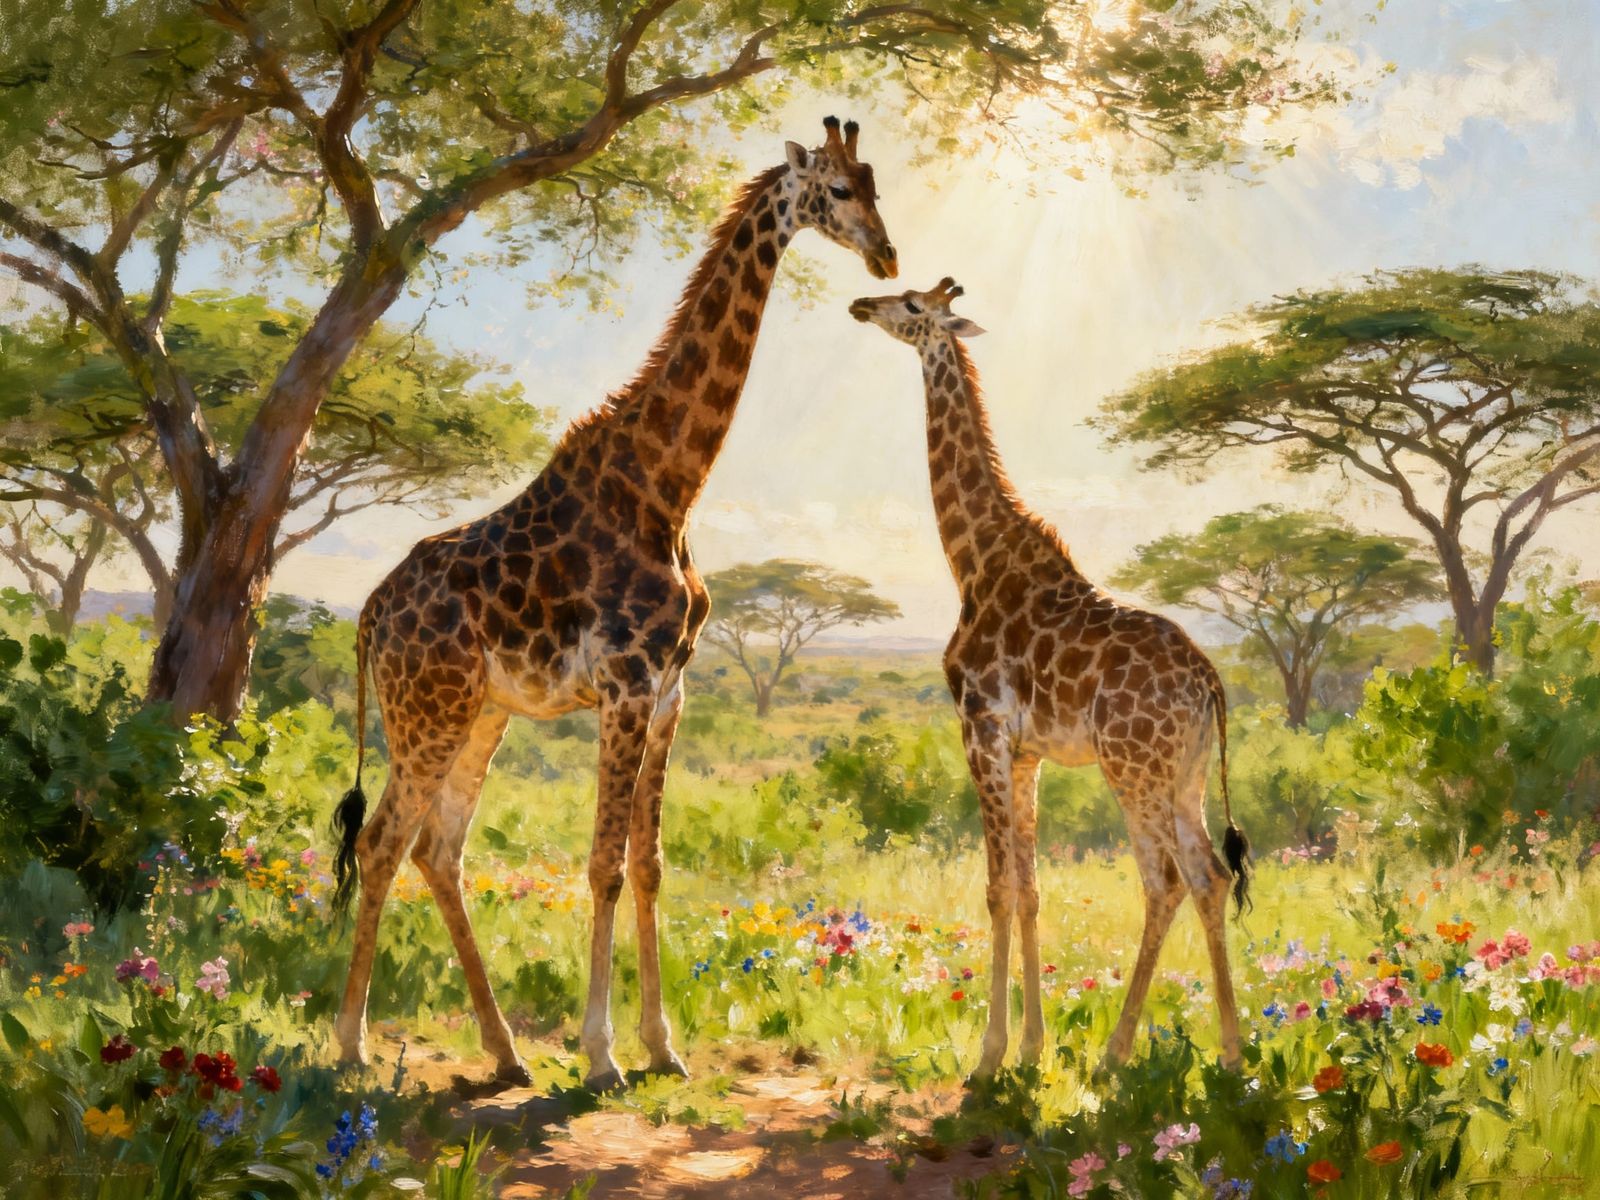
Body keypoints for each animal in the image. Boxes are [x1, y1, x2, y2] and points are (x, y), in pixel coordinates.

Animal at [330, 117, 898, 1092]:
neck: (669, 487)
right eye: (836, 191)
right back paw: (352, 1045)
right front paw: (601, 1058)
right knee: (383, 843)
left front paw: (662, 1047)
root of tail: (370, 615)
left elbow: (650, 864)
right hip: (426, 713)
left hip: (481, 713)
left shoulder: (671, 694)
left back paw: (506, 1051)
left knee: (438, 848)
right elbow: (600, 864)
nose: (887, 255)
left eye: (875, 185)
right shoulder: (627, 687)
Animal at [848, 278, 1249, 1076]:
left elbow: (998, 888)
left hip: (1132, 767)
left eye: (912, 304)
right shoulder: (1026, 750)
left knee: (1167, 880)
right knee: (1210, 876)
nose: (860, 305)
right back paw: (1228, 1053)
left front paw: (989, 1056)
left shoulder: (980, 728)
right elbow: (1031, 889)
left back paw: (1118, 1054)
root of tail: (1209, 685)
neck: (972, 560)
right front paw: (1033, 1047)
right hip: (1184, 775)